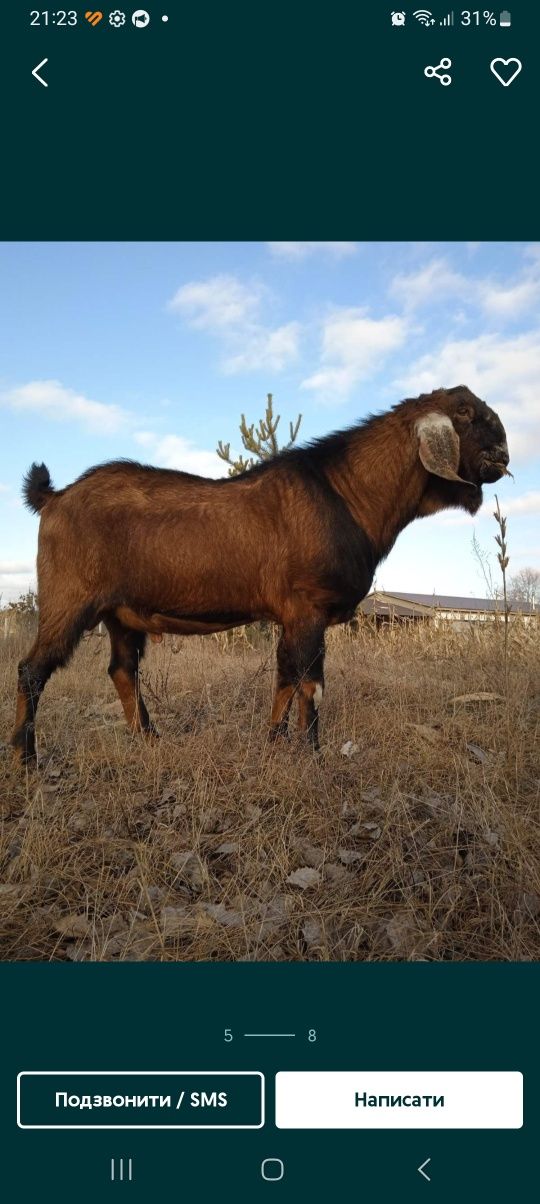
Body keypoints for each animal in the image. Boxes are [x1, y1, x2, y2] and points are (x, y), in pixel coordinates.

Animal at [13, 385, 509, 760]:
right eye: (465, 412)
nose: (503, 452)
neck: (347, 493)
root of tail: (54, 498)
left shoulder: (291, 615)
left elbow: (284, 675)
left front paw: (274, 742)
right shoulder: (308, 607)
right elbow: (310, 682)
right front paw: (312, 754)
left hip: (121, 613)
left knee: (122, 669)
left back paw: (150, 738)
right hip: (69, 596)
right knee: (32, 668)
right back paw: (26, 756)